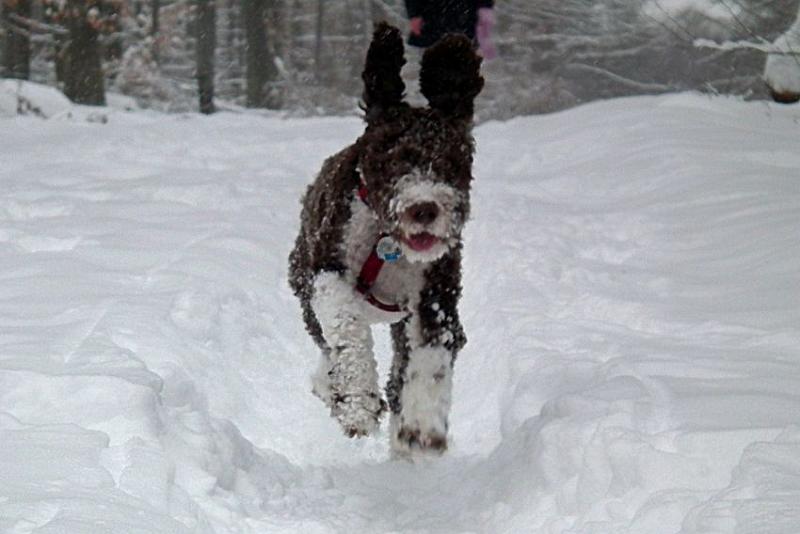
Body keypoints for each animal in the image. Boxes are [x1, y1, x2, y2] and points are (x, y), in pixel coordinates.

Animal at [288, 22, 483, 457]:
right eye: (390, 157)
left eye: (453, 160)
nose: (424, 208)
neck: (387, 242)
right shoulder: (326, 270)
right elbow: (346, 329)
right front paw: (357, 403)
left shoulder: (436, 293)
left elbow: (431, 356)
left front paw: (422, 427)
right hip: (302, 287)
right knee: (326, 348)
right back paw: (331, 388)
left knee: (398, 376)